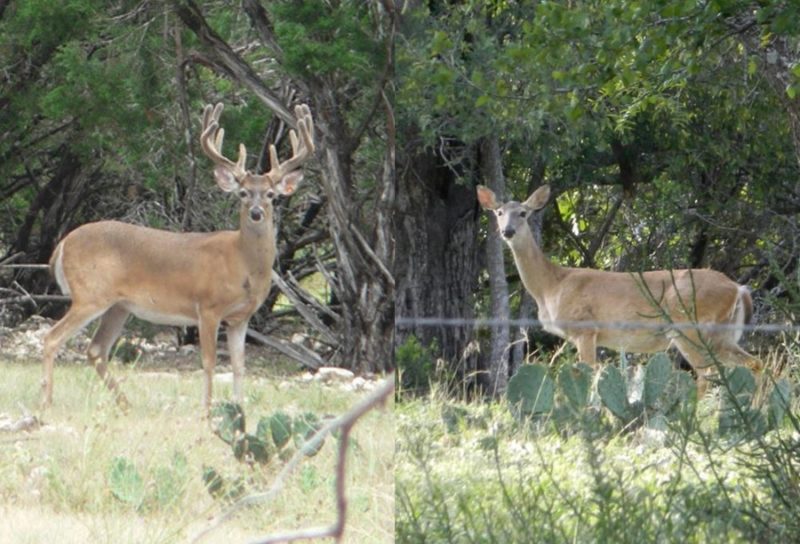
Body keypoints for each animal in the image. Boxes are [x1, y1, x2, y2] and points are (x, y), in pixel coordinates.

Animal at [42, 102, 314, 410]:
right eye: (243, 193)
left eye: (270, 194)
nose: (256, 213)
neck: (243, 263)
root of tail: (62, 244)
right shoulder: (208, 307)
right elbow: (209, 362)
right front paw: (207, 409)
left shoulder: (241, 317)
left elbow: (239, 365)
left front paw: (238, 407)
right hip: (90, 294)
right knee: (52, 338)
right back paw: (47, 401)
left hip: (118, 305)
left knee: (96, 349)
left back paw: (125, 404)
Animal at [478, 184, 760, 396]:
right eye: (499, 212)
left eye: (523, 213)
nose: (507, 231)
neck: (551, 285)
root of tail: (739, 288)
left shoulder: (585, 329)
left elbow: (588, 376)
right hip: (722, 334)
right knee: (751, 364)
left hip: (690, 327)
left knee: (707, 373)